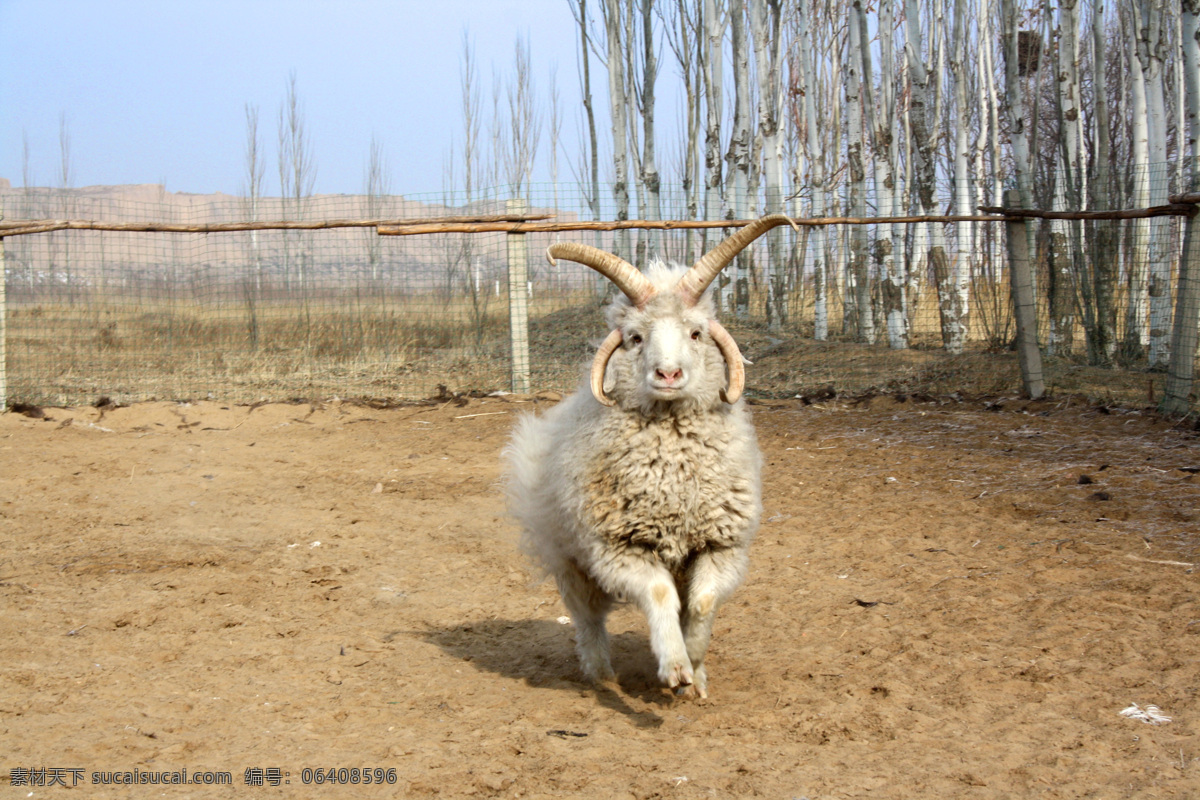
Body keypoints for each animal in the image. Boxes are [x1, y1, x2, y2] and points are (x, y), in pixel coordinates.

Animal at [501, 215, 792, 695]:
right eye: (636, 338)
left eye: (695, 333)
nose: (668, 373)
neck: (672, 471)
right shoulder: (619, 548)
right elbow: (658, 595)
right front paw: (675, 666)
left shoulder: (721, 545)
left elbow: (702, 602)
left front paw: (694, 665)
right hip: (571, 561)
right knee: (587, 619)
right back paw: (600, 674)